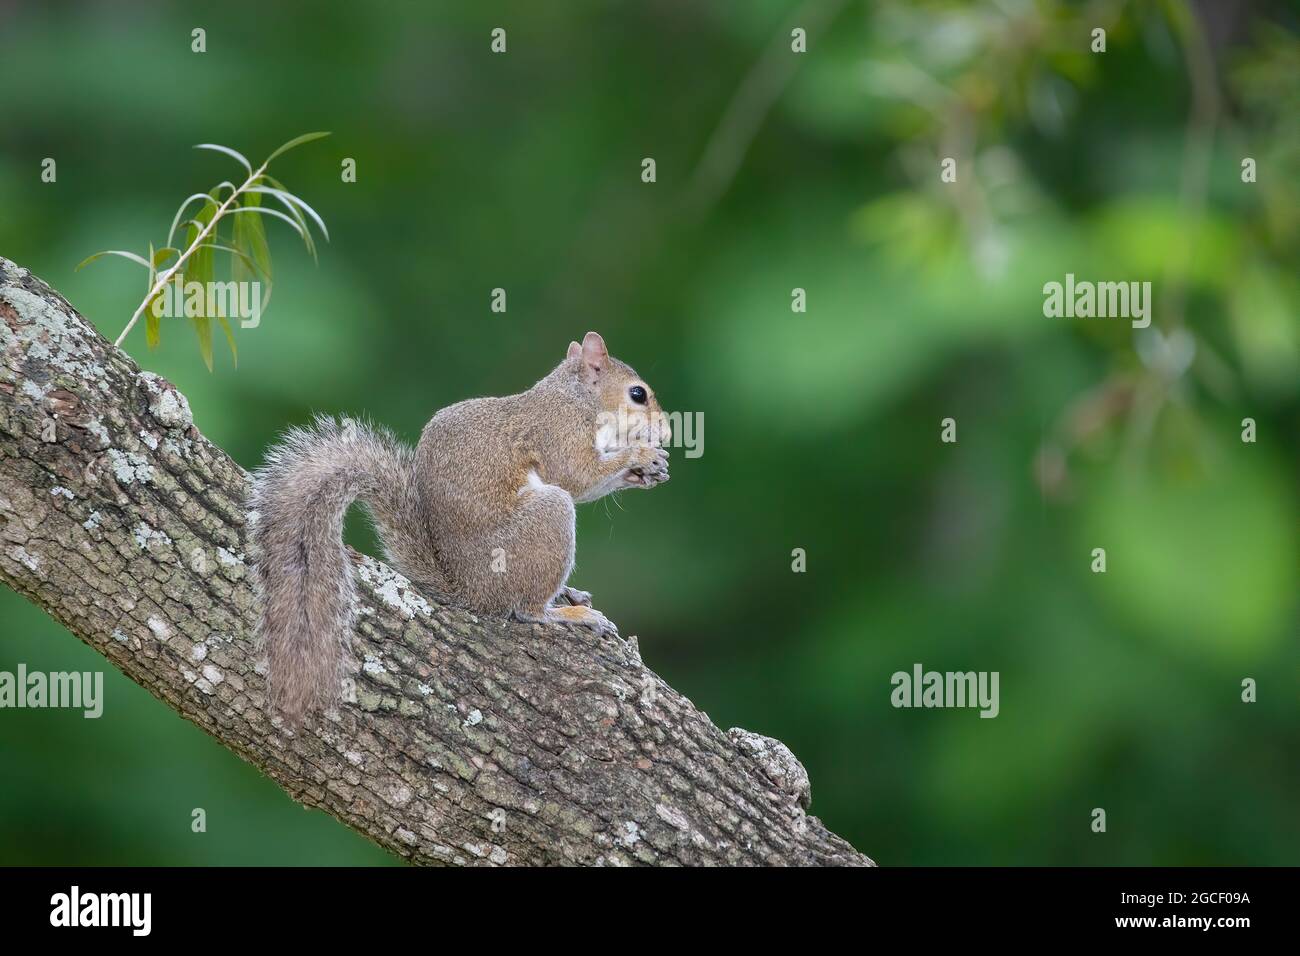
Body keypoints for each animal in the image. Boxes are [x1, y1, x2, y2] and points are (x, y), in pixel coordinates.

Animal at [250, 331, 670, 724]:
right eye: (638, 394)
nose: (666, 432)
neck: (578, 398)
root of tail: (468, 590)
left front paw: (644, 471)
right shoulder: (558, 435)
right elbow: (578, 476)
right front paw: (639, 456)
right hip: (546, 519)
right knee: (526, 610)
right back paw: (569, 614)